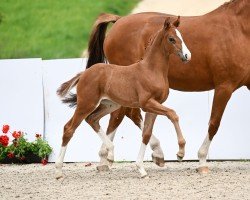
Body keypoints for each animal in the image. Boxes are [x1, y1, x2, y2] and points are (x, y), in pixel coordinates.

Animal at [55, 16, 190, 178]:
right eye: (171, 39)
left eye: (182, 36)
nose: (187, 56)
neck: (151, 70)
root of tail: (84, 73)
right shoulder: (147, 104)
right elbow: (173, 114)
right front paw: (181, 152)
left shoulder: (154, 106)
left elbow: (146, 134)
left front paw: (141, 169)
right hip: (86, 104)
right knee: (69, 128)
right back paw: (59, 171)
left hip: (110, 105)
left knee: (92, 119)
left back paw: (110, 152)